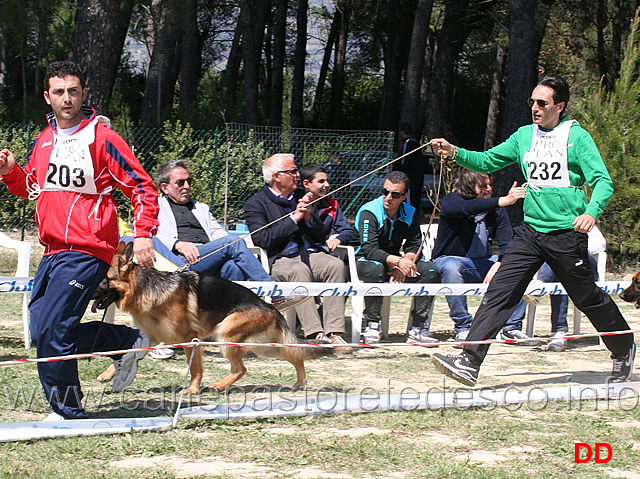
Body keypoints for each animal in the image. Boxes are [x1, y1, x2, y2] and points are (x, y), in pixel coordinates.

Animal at [92, 242, 332, 396]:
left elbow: (195, 369)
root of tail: (269, 306)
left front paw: (193, 389)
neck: (146, 289)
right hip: (261, 346)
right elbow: (127, 351)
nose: (86, 290)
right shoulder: (150, 337)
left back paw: (219, 386)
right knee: (295, 356)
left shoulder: (191, 339)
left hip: (226, 335)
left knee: (241, 369)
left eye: (103, 279)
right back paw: (300, 382)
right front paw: (108, 374)